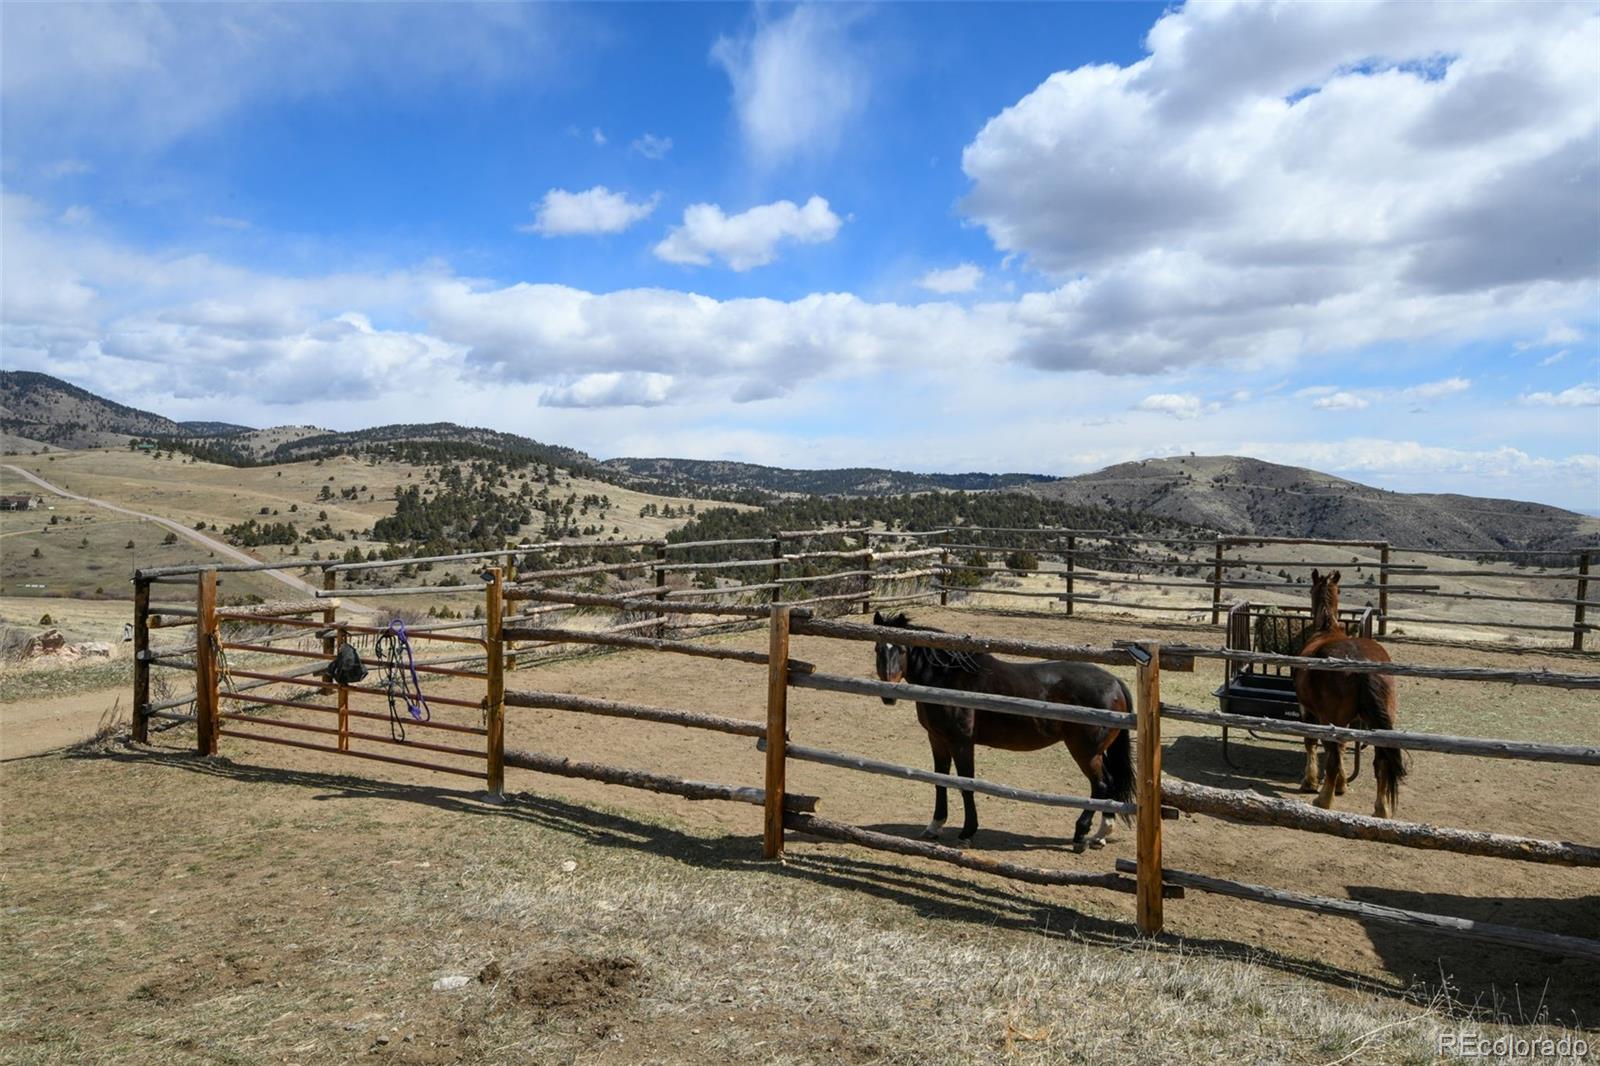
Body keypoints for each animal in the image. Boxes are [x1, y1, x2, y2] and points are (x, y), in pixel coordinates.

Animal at [870, 611, 1132, 851]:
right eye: (877, 649)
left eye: (902, 650)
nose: (887, 694)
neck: (947, 679)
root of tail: (1115, 682)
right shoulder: (937, 739)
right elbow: (940, 779)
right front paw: (935, 826)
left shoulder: (961, 742)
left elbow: (966, 783)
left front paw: (967, 832)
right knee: (1108, 783)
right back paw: (1100, 834)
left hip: (1085, 752)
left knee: (1100, 785)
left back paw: (1081, 834)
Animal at [1292, 573, 1408, 813]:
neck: (1327, 629)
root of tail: (1361, 664)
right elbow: (1344, 747)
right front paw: (1341, 784)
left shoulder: (1308, 711)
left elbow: (1312, 743)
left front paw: (1311, 781)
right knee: (1381, 761)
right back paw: (1381, 808)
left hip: (1329, 719)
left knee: (1333, 759)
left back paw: (1323, 800)